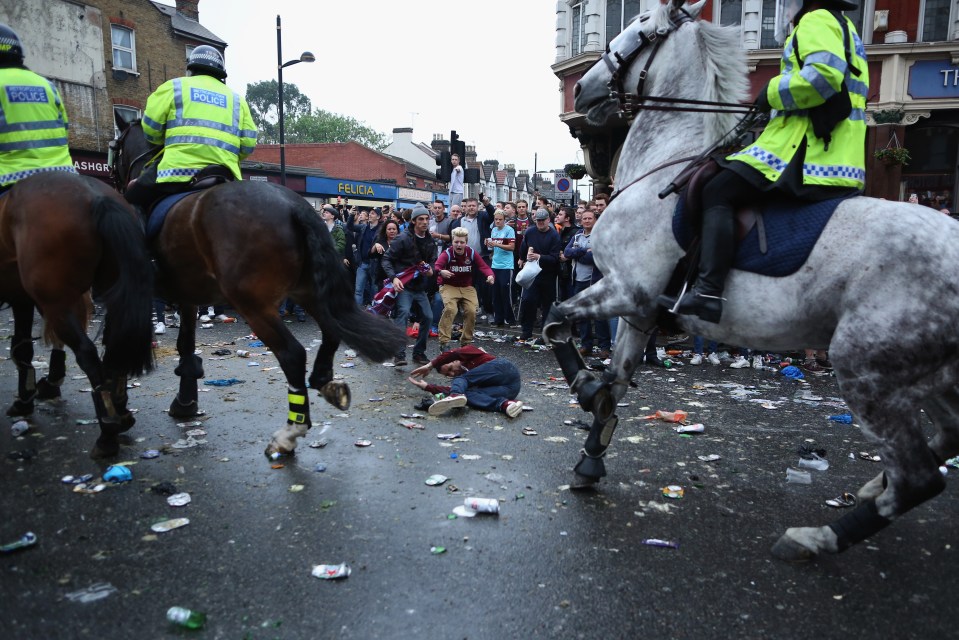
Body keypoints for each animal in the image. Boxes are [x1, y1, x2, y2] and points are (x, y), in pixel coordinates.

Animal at [0, 172, 153, 458]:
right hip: (109, 292)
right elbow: (23, 346)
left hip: (55, 301)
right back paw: (120, 409)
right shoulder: (22, 297)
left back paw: (107, 430)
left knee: (86, 353)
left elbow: (23, 348)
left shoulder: (26, 298)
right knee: (113, 347)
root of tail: (97, 198)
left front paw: (26, 399)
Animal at [111, 120, 404, 458]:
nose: (116, 180)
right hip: (307, 290)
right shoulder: (188, 295)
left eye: (115, 147)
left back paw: (291, 430)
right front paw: (185, 399)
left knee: (292, 354)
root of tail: (293, 205)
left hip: (253, 303)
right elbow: (185, 343)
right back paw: (323, 381)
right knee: (331, 331)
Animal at [548, 0, 959, 560]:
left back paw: (817, 537)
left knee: (919, 476)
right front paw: (592, 450)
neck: (660, 171)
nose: (585, 90)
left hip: (867, 369)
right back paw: (874, 486)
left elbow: (555, 321)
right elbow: (619, 376)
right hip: (928, 373)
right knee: (945, 439)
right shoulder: (639, 311)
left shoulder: (625, 289)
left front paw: (586, 389)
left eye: (635, 28)